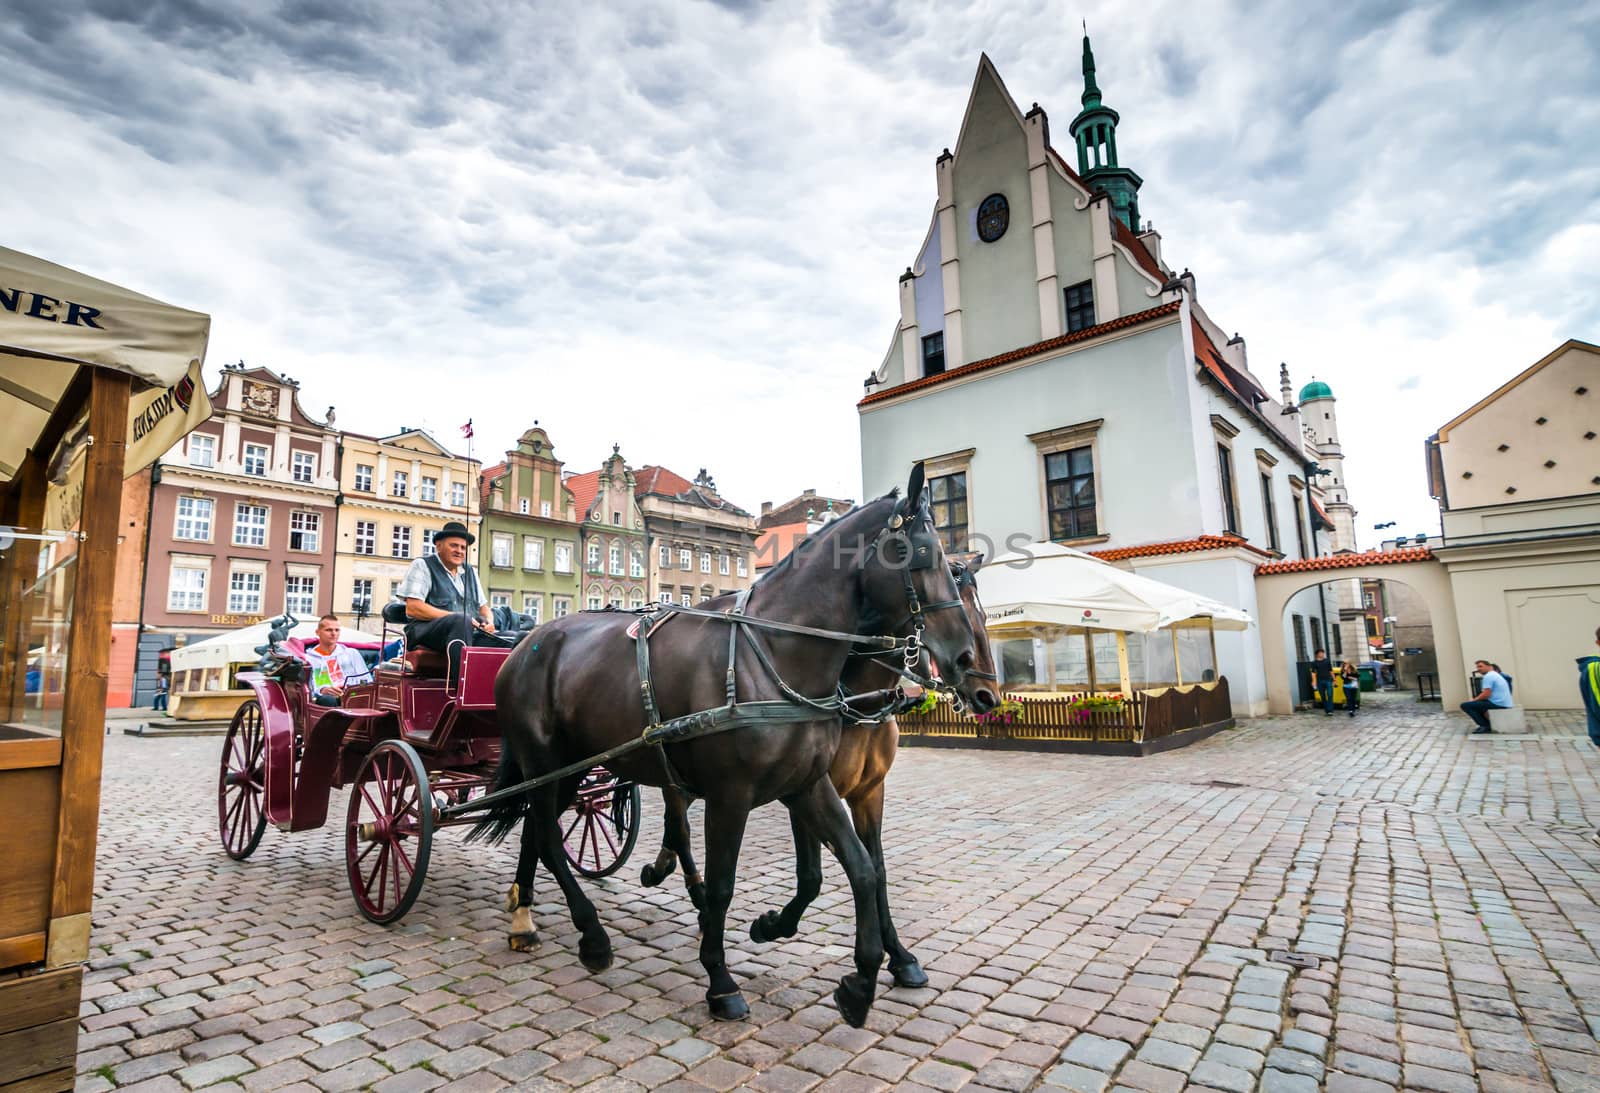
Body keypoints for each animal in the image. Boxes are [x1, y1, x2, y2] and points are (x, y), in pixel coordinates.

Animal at [640, 560, 998, 985]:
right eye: (962, 610)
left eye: (982, 615)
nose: (988, 696)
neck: (858, 700)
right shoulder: (805, 788)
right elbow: (811, 876)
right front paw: (772, 925)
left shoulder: (868, 793)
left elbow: (876, 867)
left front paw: (899, 955)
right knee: (679, 823)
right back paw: (686, 886)